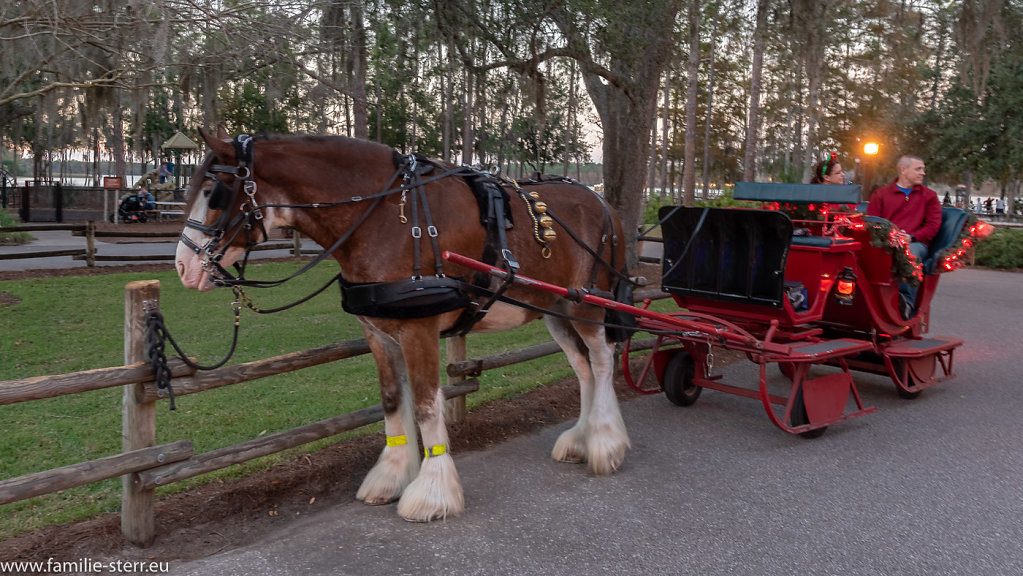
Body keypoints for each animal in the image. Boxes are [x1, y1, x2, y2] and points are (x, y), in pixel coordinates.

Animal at [175, 129, 630, 523]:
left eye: (215, 192)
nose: (182, 267)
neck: (383, 217)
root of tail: (603, 203)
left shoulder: (420, 329)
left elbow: (427, 405)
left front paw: (432, 492)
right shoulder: (379, 332)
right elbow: (394, 401)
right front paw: (391, 475)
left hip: (589, 306)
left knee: (603, 360)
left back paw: (606, 444)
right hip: (557, 310)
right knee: (583, 369)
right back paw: (580, 439)